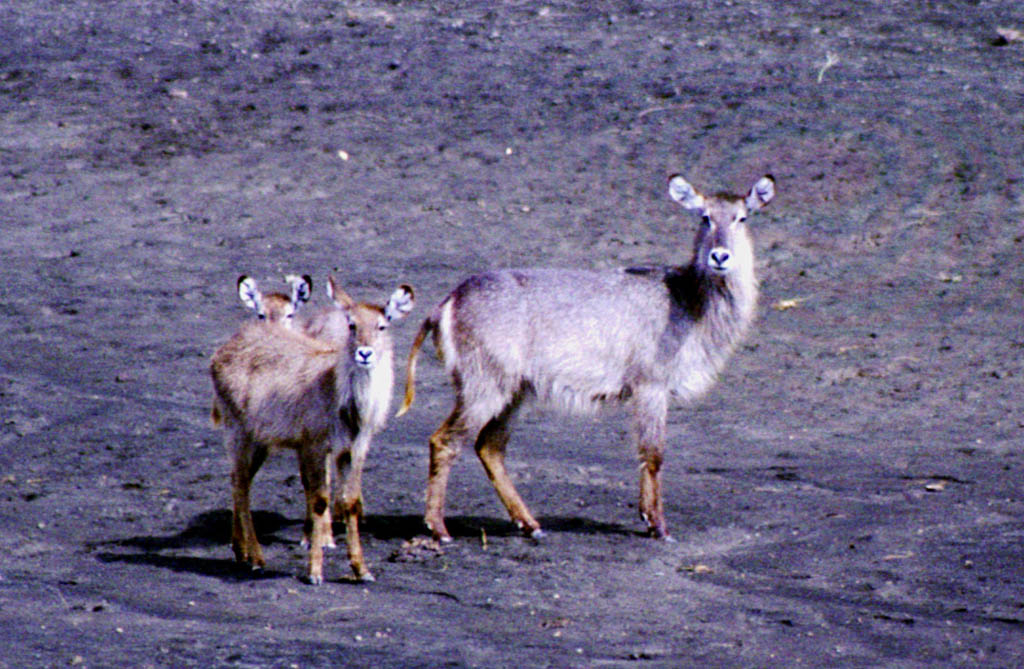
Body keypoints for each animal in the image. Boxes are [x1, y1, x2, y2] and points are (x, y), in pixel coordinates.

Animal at [209, 274, 413, 581]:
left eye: (382, 324)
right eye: (352, 324)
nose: (365, 353)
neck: (346, 405)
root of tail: (219, 354)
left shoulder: (353, 447)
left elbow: (350, 502)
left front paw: (361, 569)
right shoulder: (314, 443)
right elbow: (319, 499)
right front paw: (315, 570)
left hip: (261, 440)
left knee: (238, 480)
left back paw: (241, 551)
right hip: (238, 431)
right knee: (241, 483)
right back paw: (256, 557)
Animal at [399, 173, 774, 540]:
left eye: (742, 218)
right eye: (704, 217)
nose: (720, 257)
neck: (689, 301)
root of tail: (447, 301)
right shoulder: (651, 385)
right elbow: (653, 454)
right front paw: (657, 525)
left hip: (514, 390)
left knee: (489, 446)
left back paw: (531, 525)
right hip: (484, 384)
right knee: (444, 441)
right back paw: (439, 529)